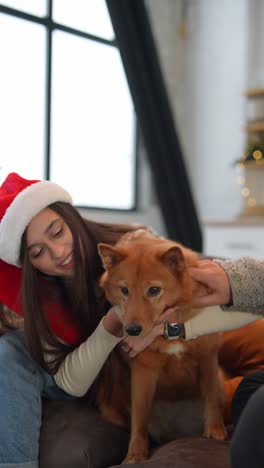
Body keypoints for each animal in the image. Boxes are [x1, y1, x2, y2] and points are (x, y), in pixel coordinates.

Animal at [97, 229, 227, 462]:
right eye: (124, 290)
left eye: (154, 290)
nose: (131, 330)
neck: (170, 329)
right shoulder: (144, 371)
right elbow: (139, 416)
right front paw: (135, 455)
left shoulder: (208, 358)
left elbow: (212, 397)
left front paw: (215, 432)